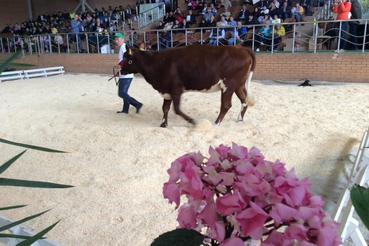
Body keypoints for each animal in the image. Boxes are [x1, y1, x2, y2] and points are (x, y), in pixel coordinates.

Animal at [119, 45, 254, 128]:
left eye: (128, 59)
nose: (121, 70)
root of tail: (241, 49)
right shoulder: (166, 91)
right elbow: (165, 108)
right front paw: (163, 124)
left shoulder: (176, 89)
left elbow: (177, 109)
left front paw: (193, 121)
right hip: (238, 85)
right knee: (244, 101)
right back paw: (239, 119)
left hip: (228, 85)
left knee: (226, 105)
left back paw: (216, 124)